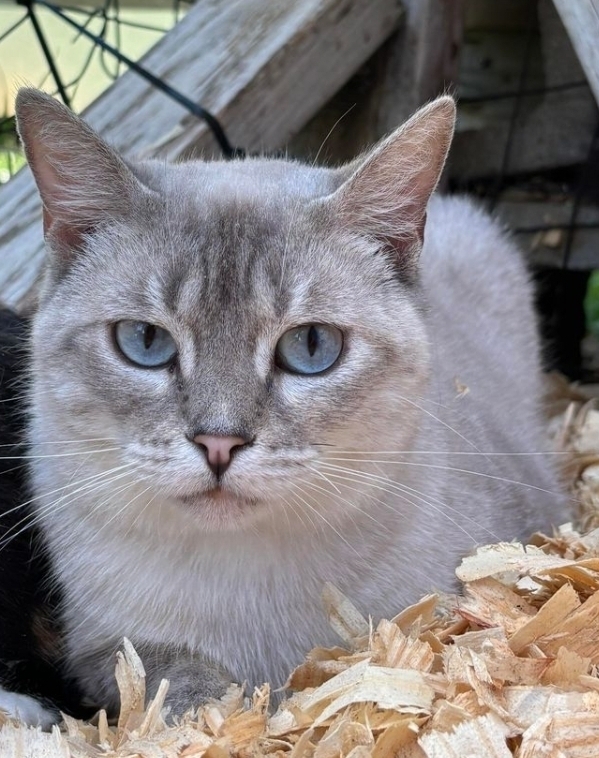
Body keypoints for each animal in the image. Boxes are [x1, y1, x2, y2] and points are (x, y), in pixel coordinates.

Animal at [9, 86, 568, 720]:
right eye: (145, 341)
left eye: (311, 346)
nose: (218, 443)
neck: (244, 587)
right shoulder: (102, 650)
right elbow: (173, 682)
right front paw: (224, 712)